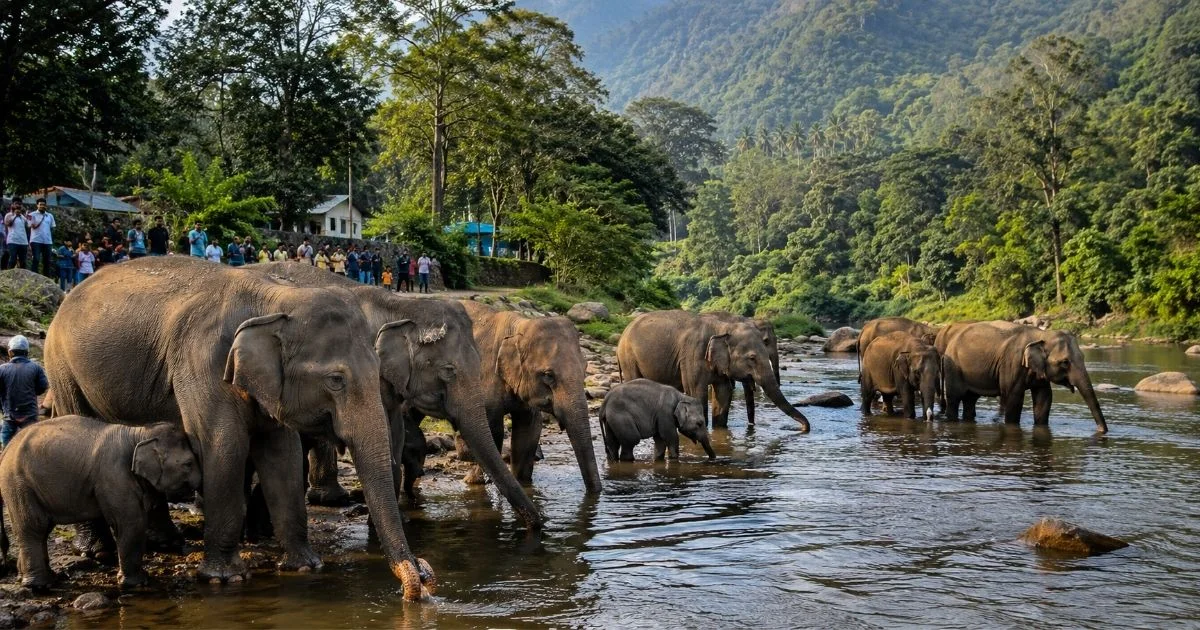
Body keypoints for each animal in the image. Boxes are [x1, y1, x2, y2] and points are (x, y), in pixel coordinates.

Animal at [0, 416, 201, 589]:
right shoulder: (114, 475)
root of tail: (6, 448)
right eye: (189, 464)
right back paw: (41, 585)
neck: (139, 433)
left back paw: (34, 578)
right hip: (19, 484)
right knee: (34, 527)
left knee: (40, 530)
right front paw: (138, 582)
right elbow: (131, 522)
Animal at [44, 257, 434, 600]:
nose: (424, 575)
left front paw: (305, 567)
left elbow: (283, 454)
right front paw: (223, 578)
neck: (274, 299)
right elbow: (224, 445)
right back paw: (99, 552)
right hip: (61, 367)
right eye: (336, 380)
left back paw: (163, 543)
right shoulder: (202, 364)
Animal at [454, 300, 601, 492]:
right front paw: (473, 480)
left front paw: (522, 481)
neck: (517, 326)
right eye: (548, 375)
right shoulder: (483, 375)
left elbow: (529, 428)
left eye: (585, 370)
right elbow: (490, 429)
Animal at [617, 310, 811, 432]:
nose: (803, 428)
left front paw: (719, 428)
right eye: (752, 358)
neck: (723, 327)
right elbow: (696, 392)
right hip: (629, 358)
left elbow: (724, 393)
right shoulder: (692, 354)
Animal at [941, 321, 1108, 433]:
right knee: (955, 397)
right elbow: (1014, 398)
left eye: (1083, 357)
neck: (1041, 335)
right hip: (953, 367)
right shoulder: (1012, 362)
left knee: (970, 400)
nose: (1102, 431)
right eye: (1065, 362)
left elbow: (1044, 398)